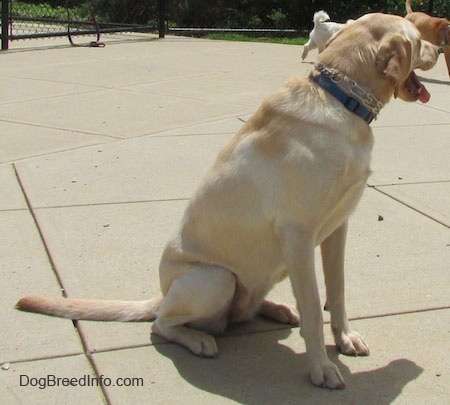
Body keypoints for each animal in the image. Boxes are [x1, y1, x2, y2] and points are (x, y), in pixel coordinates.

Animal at [15, 14, 438, 390]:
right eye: (418, 39)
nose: (439, 47)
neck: (340, 97)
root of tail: (162, 294)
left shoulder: (337, 228)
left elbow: (336, 291)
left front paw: (345, 338)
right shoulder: (298, 235)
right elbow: (313, 307)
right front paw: (321, 368)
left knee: (241, 311)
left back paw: (276, 309)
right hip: (216, 279)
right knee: (163, 324)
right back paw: (199, 339)